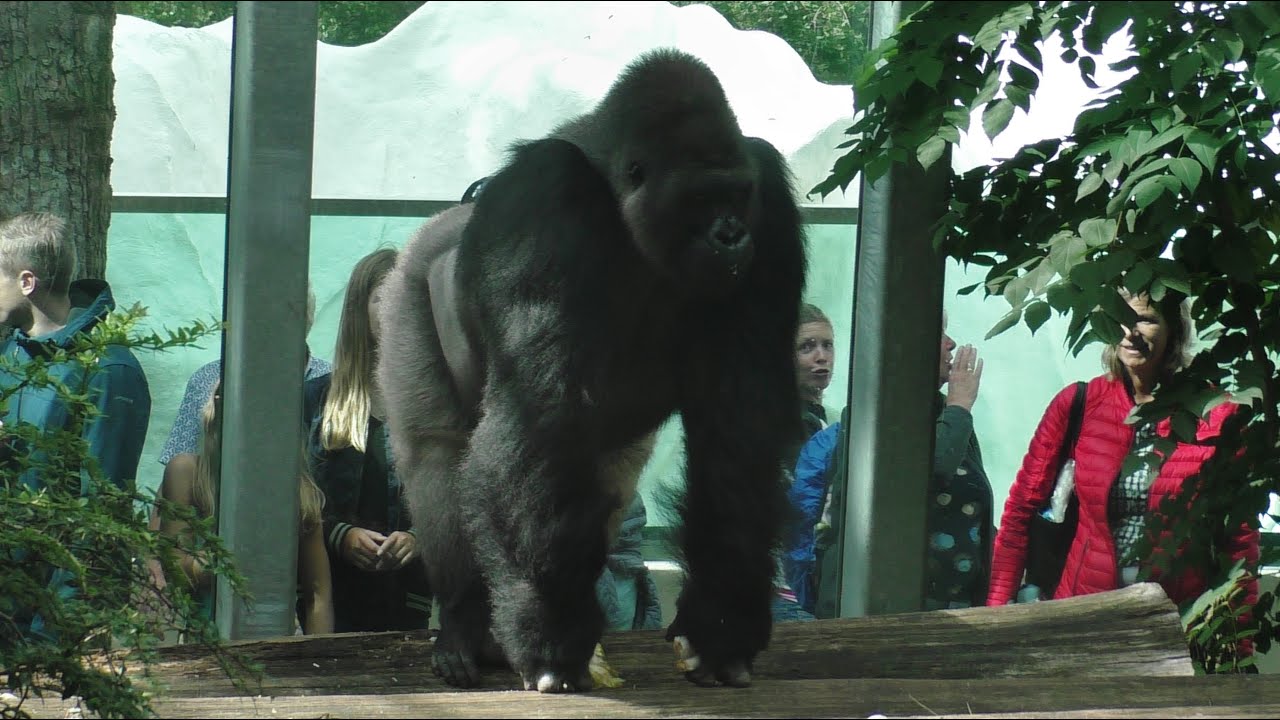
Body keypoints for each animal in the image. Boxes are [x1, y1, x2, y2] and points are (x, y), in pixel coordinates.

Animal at [376, 47, 806, 693]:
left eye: (736, 195)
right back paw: (465, 623)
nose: (732, 234)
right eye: (700, 199)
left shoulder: (769, 196)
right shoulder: (543, 193)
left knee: (607, 483)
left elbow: (740, 422)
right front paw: (549, 632)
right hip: (407, 282)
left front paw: (722, 623)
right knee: (435, 451)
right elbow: (538, 414)